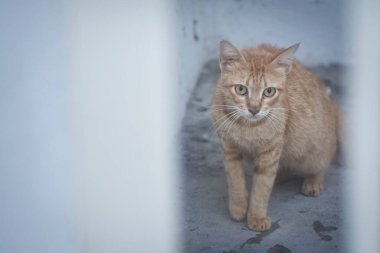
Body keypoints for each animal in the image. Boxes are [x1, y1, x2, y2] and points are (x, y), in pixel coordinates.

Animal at [211, 40, 342, 231]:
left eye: (269, 91)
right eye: (241, 89)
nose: (254, 109)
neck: (248, 126)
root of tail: (330, 103)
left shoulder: (271, 153)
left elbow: (262, 188)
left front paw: (256, 217)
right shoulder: (228, 147)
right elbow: (235, 179)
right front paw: (238, 207)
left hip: (314, 153)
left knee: (321, 165)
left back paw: (313, 181)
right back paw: (281, 175)